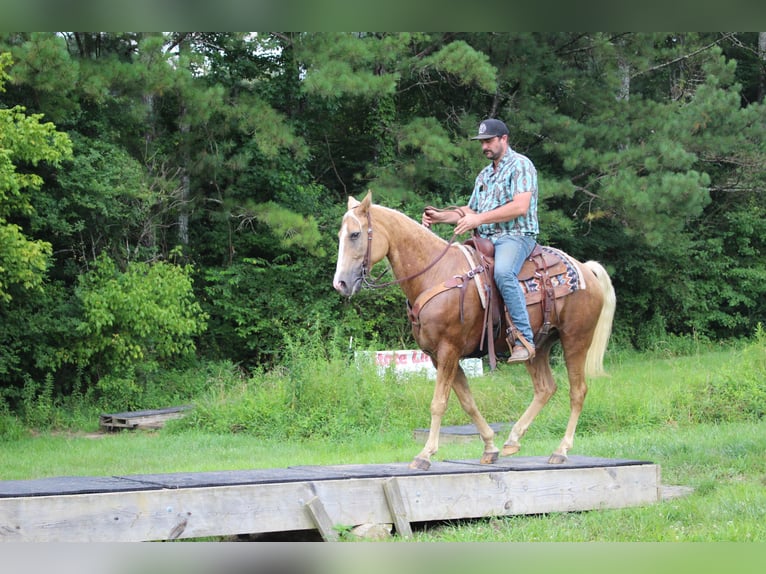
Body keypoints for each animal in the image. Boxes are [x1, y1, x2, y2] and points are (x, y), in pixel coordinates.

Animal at [333, 191, 616, 471]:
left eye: (355, 234)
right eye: (340, 235)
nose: (341, 283)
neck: (436, 274)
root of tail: (585, 269)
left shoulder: (449, 349)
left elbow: (439, 403)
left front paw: (425, 454)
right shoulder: (438, 356)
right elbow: (467, 402)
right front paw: (490, 447)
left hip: (575, 340)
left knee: (577, 391)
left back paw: (561, 450)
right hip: (539, 345)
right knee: (545, 388)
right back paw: (512, 440)